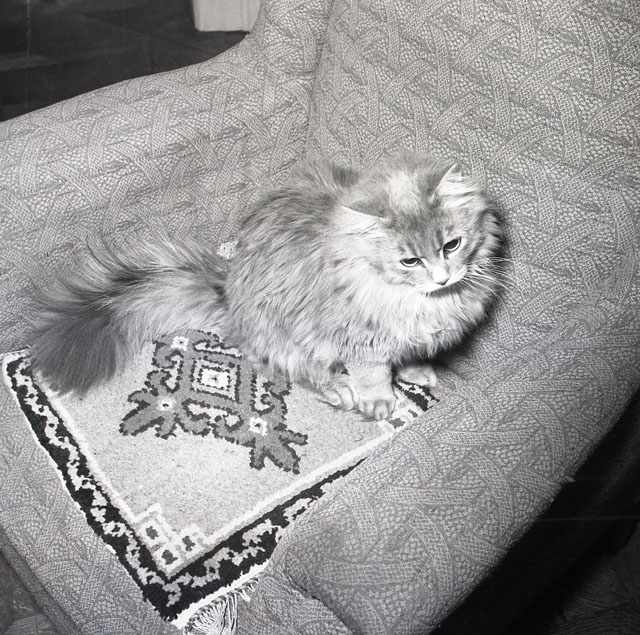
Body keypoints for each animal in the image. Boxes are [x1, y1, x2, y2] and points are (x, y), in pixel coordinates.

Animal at [30, 151, 503, 420]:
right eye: (410, 260)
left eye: (452, 244)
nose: (444, 276)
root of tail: (228, 296)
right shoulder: (359, 340)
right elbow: (373, 374)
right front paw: (379, 400)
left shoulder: (405, 333)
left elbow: (405, 355)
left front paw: (416, 369)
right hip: (284, 338)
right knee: (297, 370)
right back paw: (340, 390)